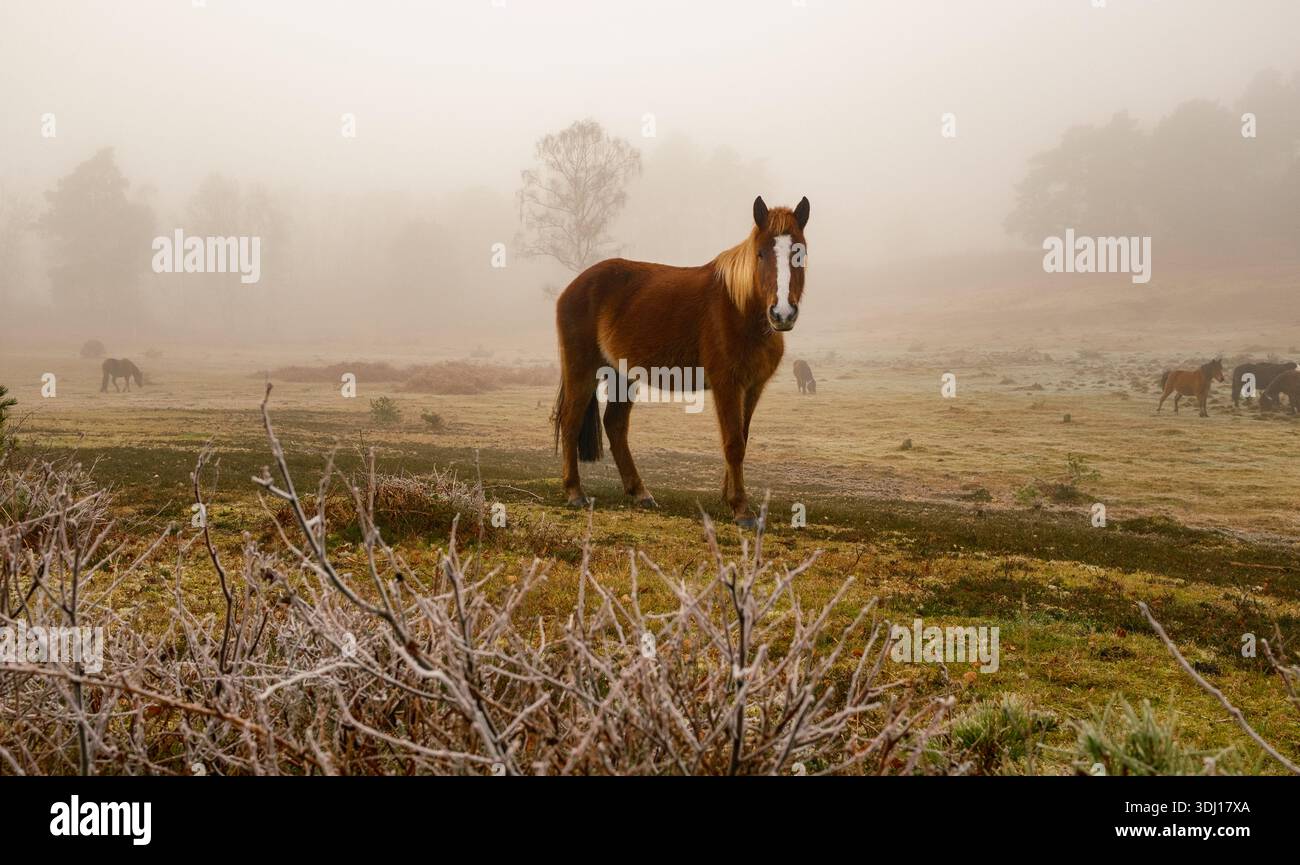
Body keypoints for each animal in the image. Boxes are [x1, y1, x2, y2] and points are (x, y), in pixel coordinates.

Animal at [552, 195, 810, 527]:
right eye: (761, 253)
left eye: (799, 252)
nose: (782, 314)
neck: (740, 308)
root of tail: (575, 285)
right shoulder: (727, 385)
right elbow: (733, 443)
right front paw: (741, 508)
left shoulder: (752, 387)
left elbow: (742, 437)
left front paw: (728, 496)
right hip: (581, 369)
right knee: (570, 421)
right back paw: (575, 492)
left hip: (623, 375)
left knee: (615, 426)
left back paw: (640, 492)